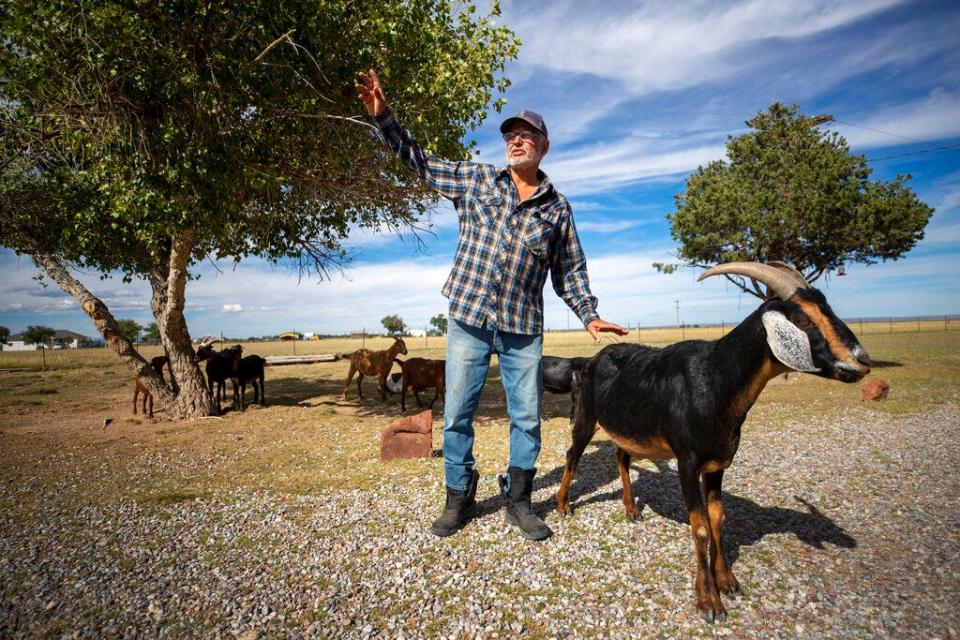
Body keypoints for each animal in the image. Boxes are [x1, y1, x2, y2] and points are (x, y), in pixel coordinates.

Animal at [552, 262, 872, 624]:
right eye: (802, 318)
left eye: (828, 307)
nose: (861, 360)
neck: (714, 379)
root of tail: (588, 361)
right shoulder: (687, 463)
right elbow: (701, 527)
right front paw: (708, 602)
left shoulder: (718, 462)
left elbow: (718, 518)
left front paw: (727, 581)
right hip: (586, 417)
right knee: (573, 454)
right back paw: (563, 505)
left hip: (630, 429)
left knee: (621, 456)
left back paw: (632, 509)